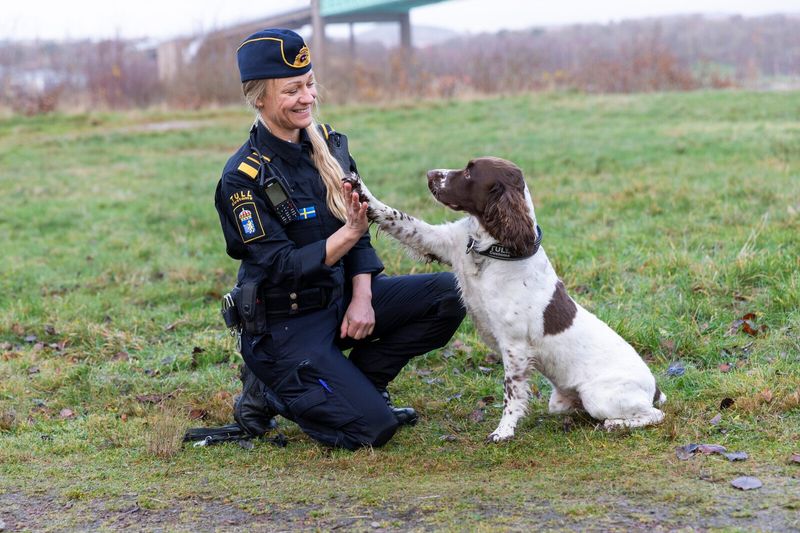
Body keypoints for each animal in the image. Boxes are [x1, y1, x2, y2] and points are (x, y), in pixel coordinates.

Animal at [354, 157, 664, 440]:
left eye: (470, 172)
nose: (430, 173)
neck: (491, 250)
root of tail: (654, 386)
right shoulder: (441, 242)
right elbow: (395, 216)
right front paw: (356, 185)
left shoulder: (514, 346)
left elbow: (511, 393)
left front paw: (503, 431)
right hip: (562, 400)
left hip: (600, 396)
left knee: (654, 414)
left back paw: (615, 424)